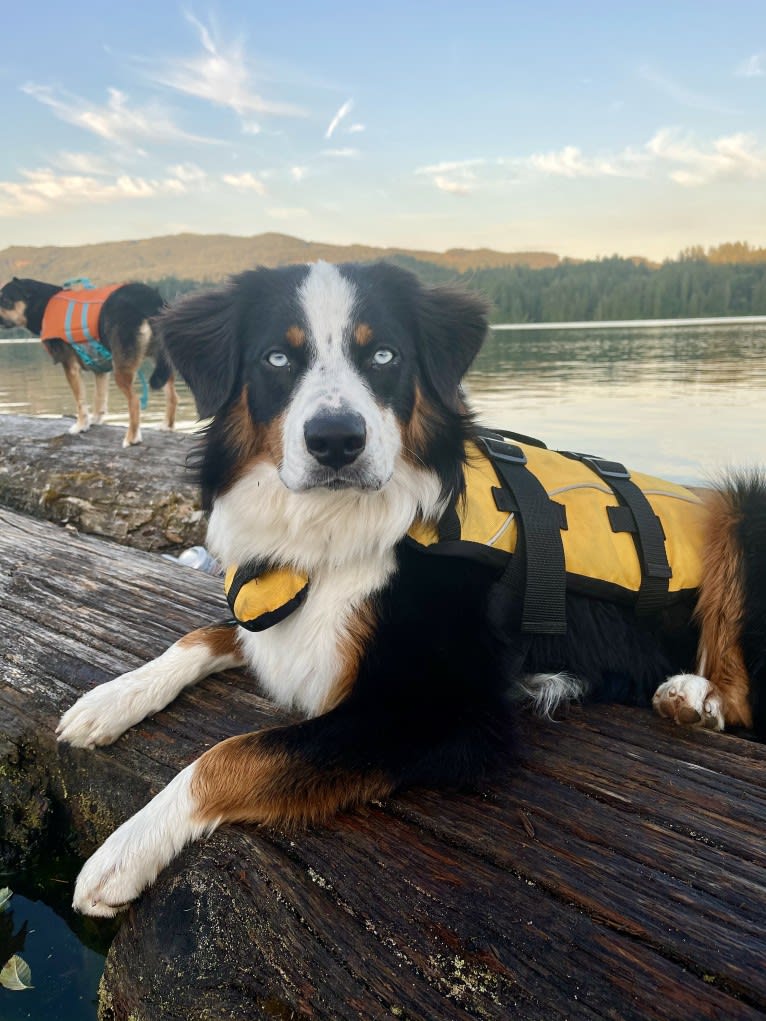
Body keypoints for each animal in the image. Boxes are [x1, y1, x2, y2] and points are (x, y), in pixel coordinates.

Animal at [0, 277, 176, 445]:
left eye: (5, 301)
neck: (45, 304)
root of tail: (151, 300)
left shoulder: (70, 367)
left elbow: (80, 401)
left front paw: (81, 425)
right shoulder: (100, 368)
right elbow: (99, 398)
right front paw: (95, 420)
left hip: (122, 368)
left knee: (134, 401)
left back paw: (132, 438)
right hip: (160, 361)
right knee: (173, 396)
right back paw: (166, 426)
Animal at [56, 261, 763, 918]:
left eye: (384, 356)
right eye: (277, 358)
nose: (336, 441)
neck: (334, 533)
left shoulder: (438, 710)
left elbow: (230, 754)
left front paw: (123, 851)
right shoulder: (284, 617)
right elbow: (202, 634)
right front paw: (107, 701)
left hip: (738, 506)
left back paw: (693, 695)